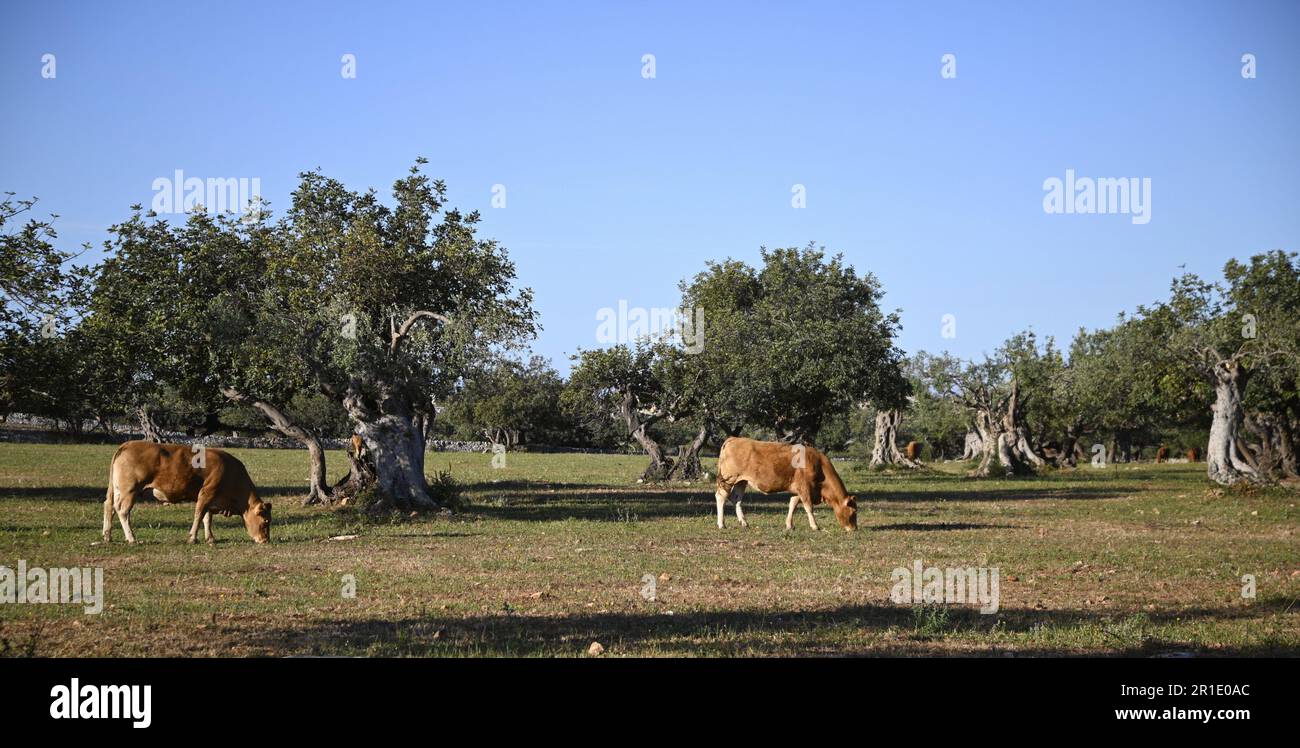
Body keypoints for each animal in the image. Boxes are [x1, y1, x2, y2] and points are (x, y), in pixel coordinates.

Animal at [103, 442, 271, 546]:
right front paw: (192, 538)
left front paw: (210, 539)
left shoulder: (211, 499)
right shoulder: (206, 493)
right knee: (123, 511)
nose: (265, 540)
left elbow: (207, 518)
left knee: (109, 506)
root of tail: (127, 444)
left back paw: (107, 536)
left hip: (116, 490)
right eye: (265, 522)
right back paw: (132, 538)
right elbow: (199, 515)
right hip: (129, 490)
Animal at [717, 437, 857, 535]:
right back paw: (721, 524)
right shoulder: (805, 488)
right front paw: (815, 526)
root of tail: (734, 439)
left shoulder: (797, 490)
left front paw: (789, 525)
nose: (854, 529)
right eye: (853, 512)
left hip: (741, 481)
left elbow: (793, 504)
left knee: (736, 499)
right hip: (728, 479)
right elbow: (808, 507)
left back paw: (744, 522)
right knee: (721, 497)